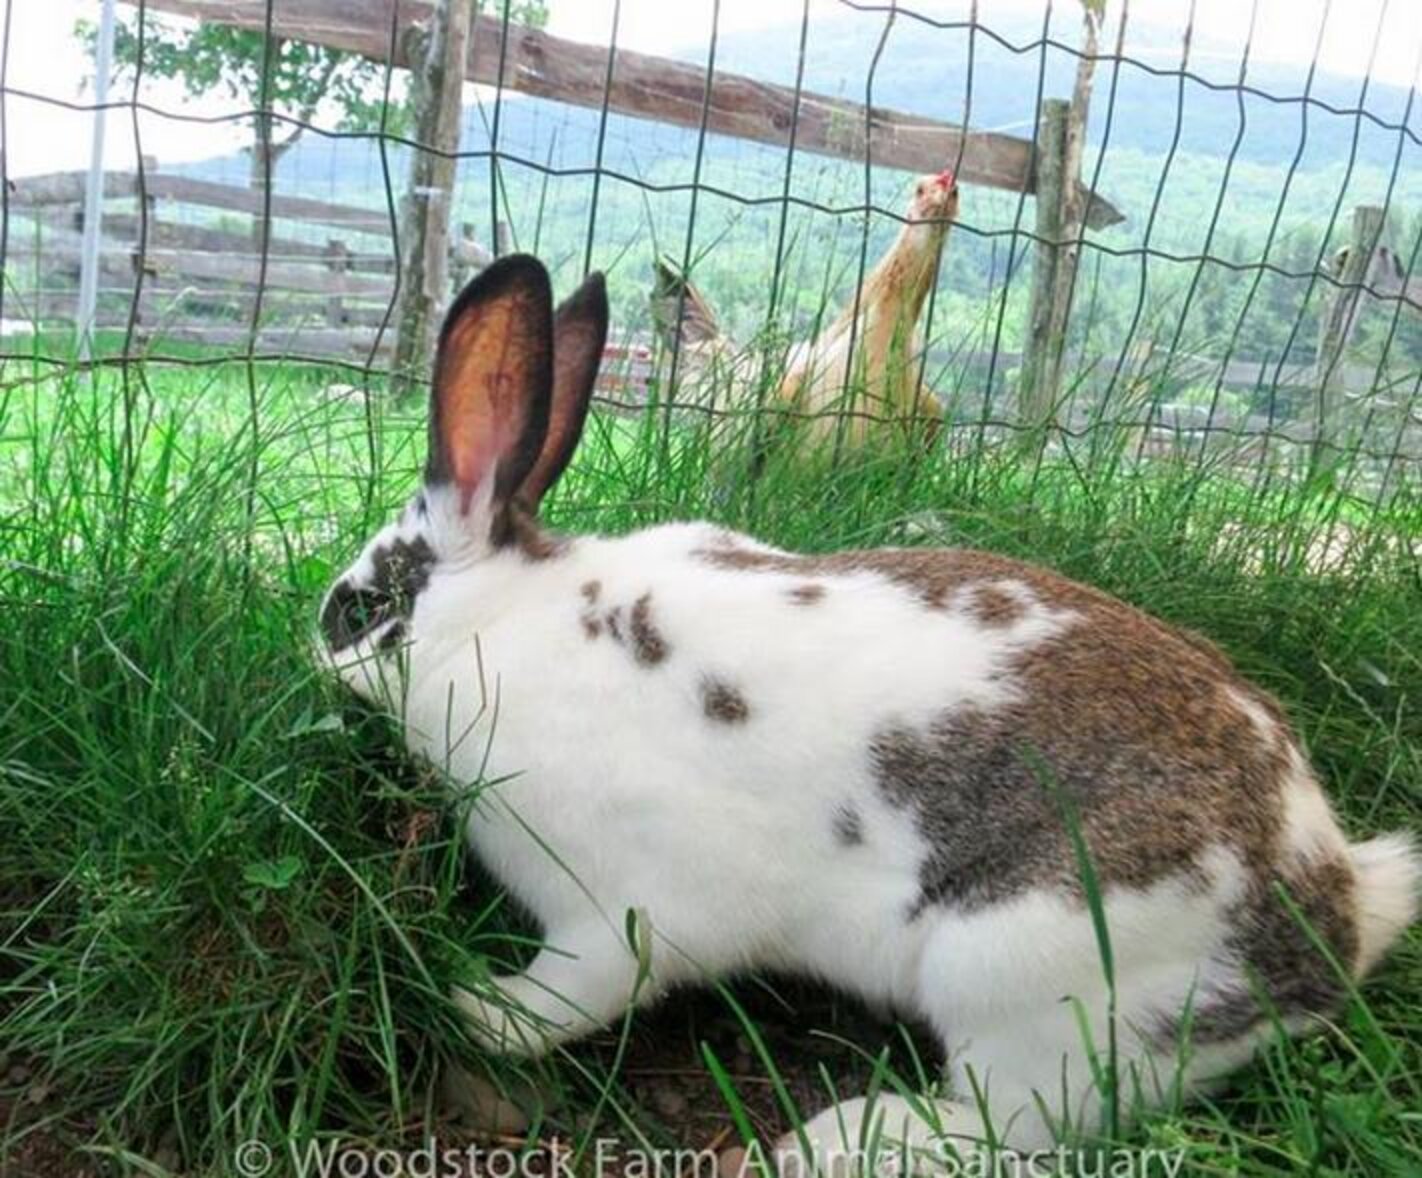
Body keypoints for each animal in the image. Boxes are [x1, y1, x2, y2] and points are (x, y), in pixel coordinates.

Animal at [318, 254, 1419, 1170]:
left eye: (356, 609)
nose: (312, 651)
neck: (500, 623)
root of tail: (1329, 918)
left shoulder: (620, 908)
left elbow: (579, 990)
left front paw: (476, 1006)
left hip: (1028, 976)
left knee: (1020, 1123)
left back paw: (843, 1135)